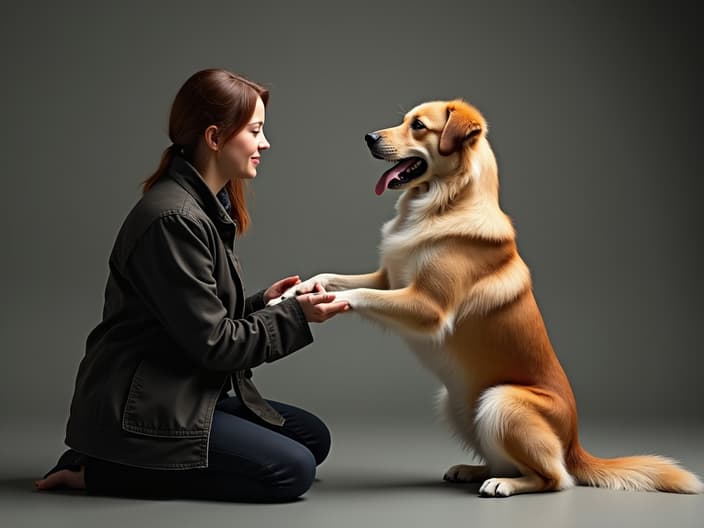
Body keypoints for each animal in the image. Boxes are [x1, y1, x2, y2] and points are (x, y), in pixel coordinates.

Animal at [270, 98, 704, 496]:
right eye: (403, 119)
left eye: (418, 126)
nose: (368, 138)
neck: (443, 203)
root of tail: (576, 444)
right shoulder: (389, 277)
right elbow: (330, 277)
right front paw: (289, 294)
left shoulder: (427, 307)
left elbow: (357, 292)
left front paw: (317, 303)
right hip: (457, 404)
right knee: (510, 460)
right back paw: (473, 470)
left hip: (501, 402)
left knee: (556, 478)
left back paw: (503, 484)